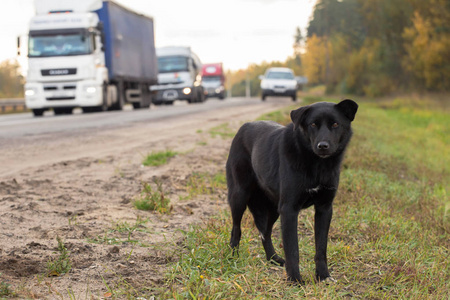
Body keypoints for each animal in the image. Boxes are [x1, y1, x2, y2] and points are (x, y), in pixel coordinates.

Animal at [227, 99, 360, 284]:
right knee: (236, 229)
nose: (323, 146)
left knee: (265, 233)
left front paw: (323, 276)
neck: (317, 165)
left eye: (335, 124)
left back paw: (273, 259)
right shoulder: (289, 210)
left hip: (274, 208)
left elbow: (321, 248)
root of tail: (245, 126)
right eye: (313, 124)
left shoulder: (324, 209)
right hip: (240, 196)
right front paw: (295, 280)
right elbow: (292, 249)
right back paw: (233, 257)